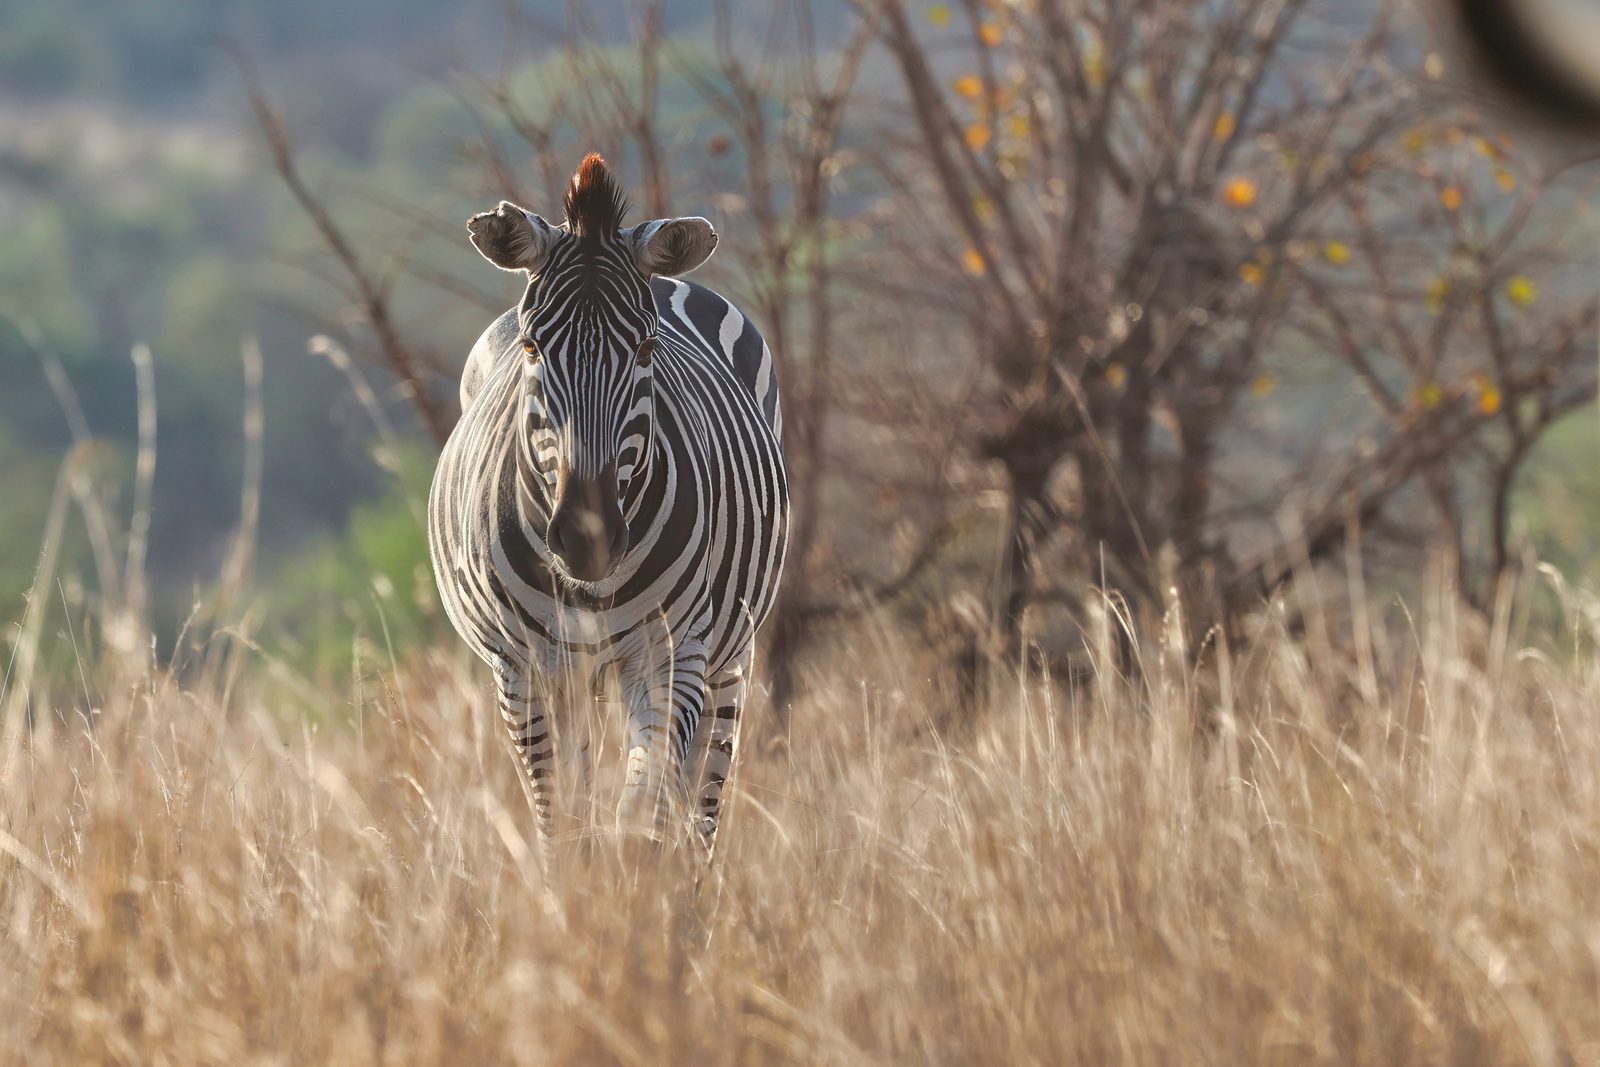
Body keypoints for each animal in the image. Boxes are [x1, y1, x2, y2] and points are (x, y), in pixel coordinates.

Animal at [428, 153, 788, 861]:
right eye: (533, 348)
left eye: (647, 349)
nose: (585, 539)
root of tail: (671, 278)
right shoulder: (526, 672)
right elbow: (563, 832)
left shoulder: (672, 656)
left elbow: (643, 828)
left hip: (728, 662)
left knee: (701, 815)